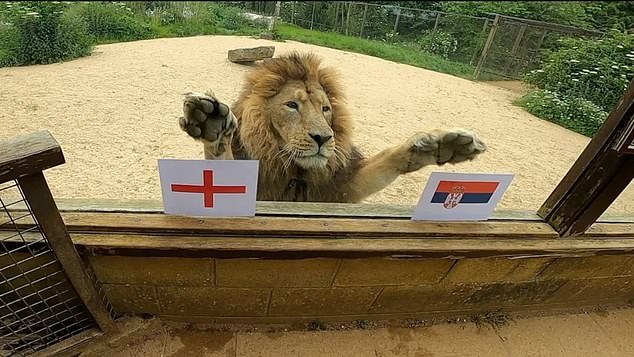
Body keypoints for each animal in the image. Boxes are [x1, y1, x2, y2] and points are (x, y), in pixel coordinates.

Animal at [178, 51, 484, 202]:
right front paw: (213, 123)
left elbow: (387, 158)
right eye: (292, 105)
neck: (296, 174)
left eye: (325, 109)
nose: (323, 138)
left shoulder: (339, 187)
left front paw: (442, 144)